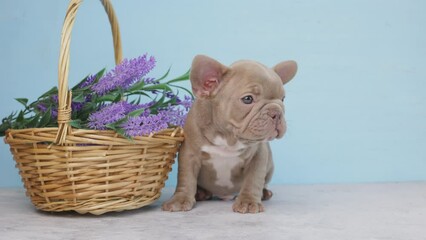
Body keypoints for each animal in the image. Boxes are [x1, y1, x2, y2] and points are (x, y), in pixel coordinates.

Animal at [161, 54, 298, 214]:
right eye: (248, 99)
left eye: (282, 99)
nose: (276, 112)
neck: (228, 138)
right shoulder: (189, 153)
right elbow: (186, 177)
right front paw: (180, 199)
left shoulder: (258, 156)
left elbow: (254, 179)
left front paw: (248, 201)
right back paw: (200, 192)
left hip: (270, 166)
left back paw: (264, 193)